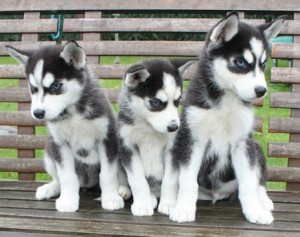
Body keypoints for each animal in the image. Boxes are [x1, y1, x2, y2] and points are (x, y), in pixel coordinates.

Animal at [6, 41, 125, 213]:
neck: (73, 113)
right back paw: (51, 188)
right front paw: (68, 200)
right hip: (49, 153)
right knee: (58, 178)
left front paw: (111, 198)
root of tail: (87, 185)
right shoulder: (60, 143)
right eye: (33, 88)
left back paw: (123, 190)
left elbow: (108, 174)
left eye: (56, 85)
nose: (38, 113)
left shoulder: (106, 138)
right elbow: (67, 176)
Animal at [118, 58, 196, 216]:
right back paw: (124, 190)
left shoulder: (173, 149)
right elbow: (137, 179)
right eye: (156, 102)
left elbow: (170, 180)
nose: (174, 127)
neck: (149, 127)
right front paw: (142, 204)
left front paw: (168, 204)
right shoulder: (128, 146)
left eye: (177, 101)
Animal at [158, 12, 284, 224]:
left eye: (263, 64)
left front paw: (254, 211)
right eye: (240, 62)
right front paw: (183, 208)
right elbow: (187, 181)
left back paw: (263, 201)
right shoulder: (193, 140)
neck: (225, 103)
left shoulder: (241, 142)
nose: (262, 91)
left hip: (255, 147)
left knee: (258, 180)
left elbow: (248, 183)